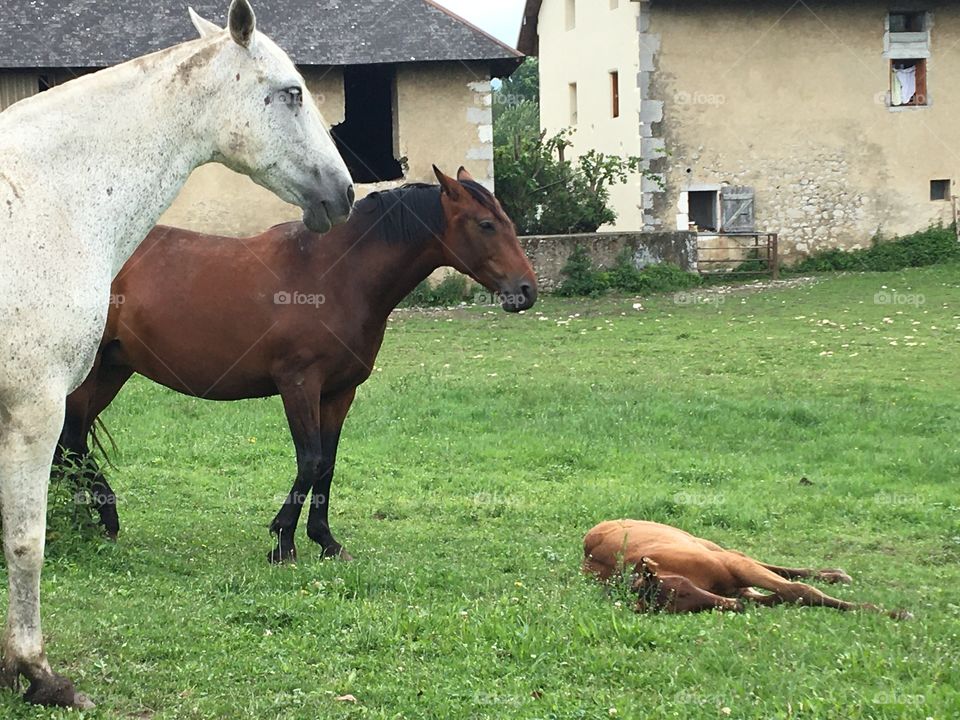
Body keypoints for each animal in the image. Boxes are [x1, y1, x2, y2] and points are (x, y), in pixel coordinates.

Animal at [0, 0, 353, 707]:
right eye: (292, 92)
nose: (344, 192)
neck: (49, 199)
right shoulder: (33, 408)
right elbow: (26, 542)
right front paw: (39, 675)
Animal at [58, 166, 538, 565]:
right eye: (486, 224)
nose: (527, 290)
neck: (336, 274)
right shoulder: (299, 384)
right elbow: (309, 460)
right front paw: (283, 541)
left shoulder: (339, 392)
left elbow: (327, 462)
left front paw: (326, 540)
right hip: (89, 375)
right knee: (70, 445)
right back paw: (96, 521)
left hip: (113, 371)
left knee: (70, 447)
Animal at [583, 520, 910, 619]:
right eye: (680, 607)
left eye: (683, 591)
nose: (734, 606)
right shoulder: (743, 588)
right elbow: (787, 596)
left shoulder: (735, 568)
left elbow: (798, 590)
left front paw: (889, 612)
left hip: (711, 547)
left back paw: (835, 574)